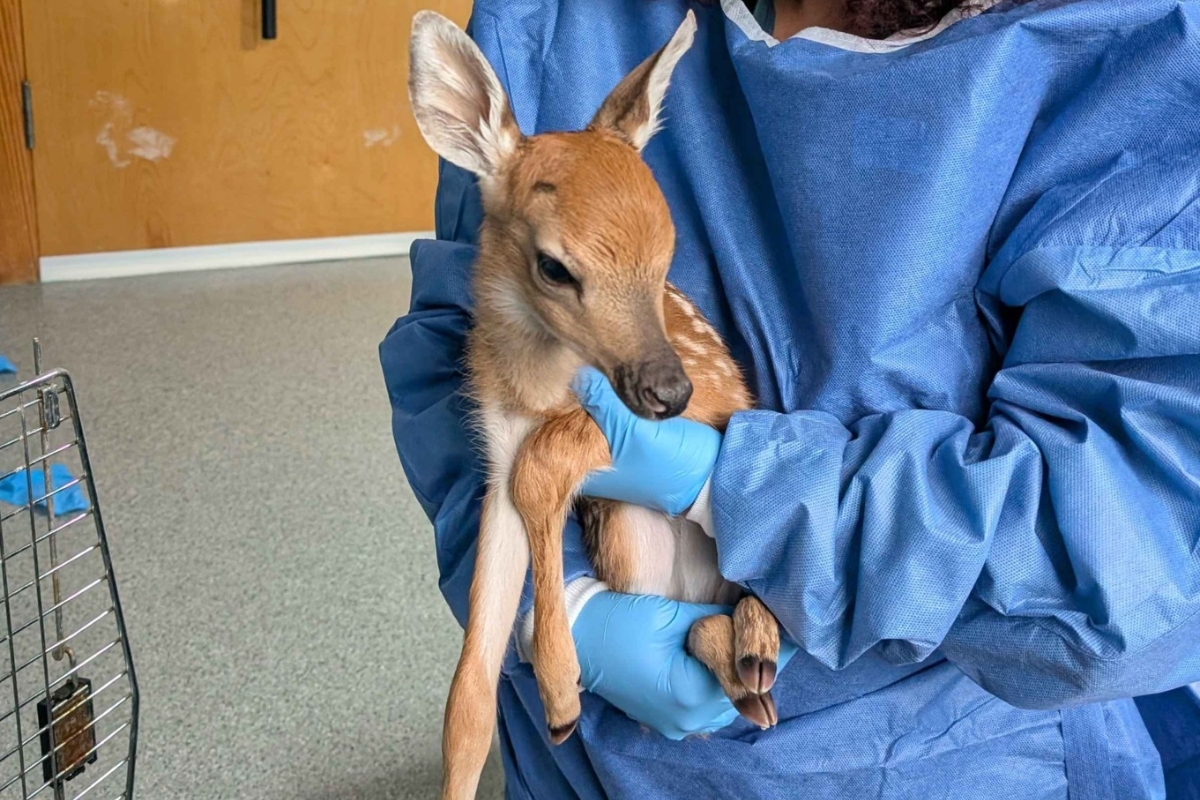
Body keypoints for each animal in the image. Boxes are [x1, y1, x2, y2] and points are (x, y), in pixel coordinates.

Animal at [407, 10, 783, 799]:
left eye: (669, 251)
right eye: (554, 266)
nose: (669, 390)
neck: (534, 385)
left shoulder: (696, 403)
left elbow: (547, 462)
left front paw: (559, 692)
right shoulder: (496, 450)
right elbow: (469, 690)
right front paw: (551, 692)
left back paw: (756, 648)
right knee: (687, 618)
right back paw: (738, 671)